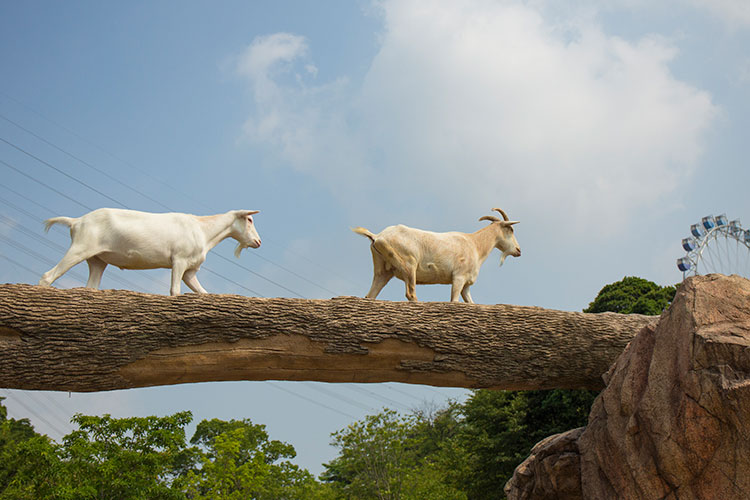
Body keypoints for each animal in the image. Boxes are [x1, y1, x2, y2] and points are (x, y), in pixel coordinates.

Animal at [39, 208, 262, 294]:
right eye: (250, 219)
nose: (258, 241)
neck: (202, 229)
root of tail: (76, 221)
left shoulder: (190, 271)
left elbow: (204, 293)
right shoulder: (179, 260)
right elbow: (174, 291)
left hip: (97, 260)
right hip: (80, 248)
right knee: (47, 275)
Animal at [354, 208, 524, 302]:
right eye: (510, 230)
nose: (518, 250)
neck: (475, 244)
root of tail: (378, 236)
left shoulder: (466, 286)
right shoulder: (458, 277)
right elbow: (453, 301)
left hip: (383, 270)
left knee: (370, 295)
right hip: (409, 265)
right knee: (410, 293)